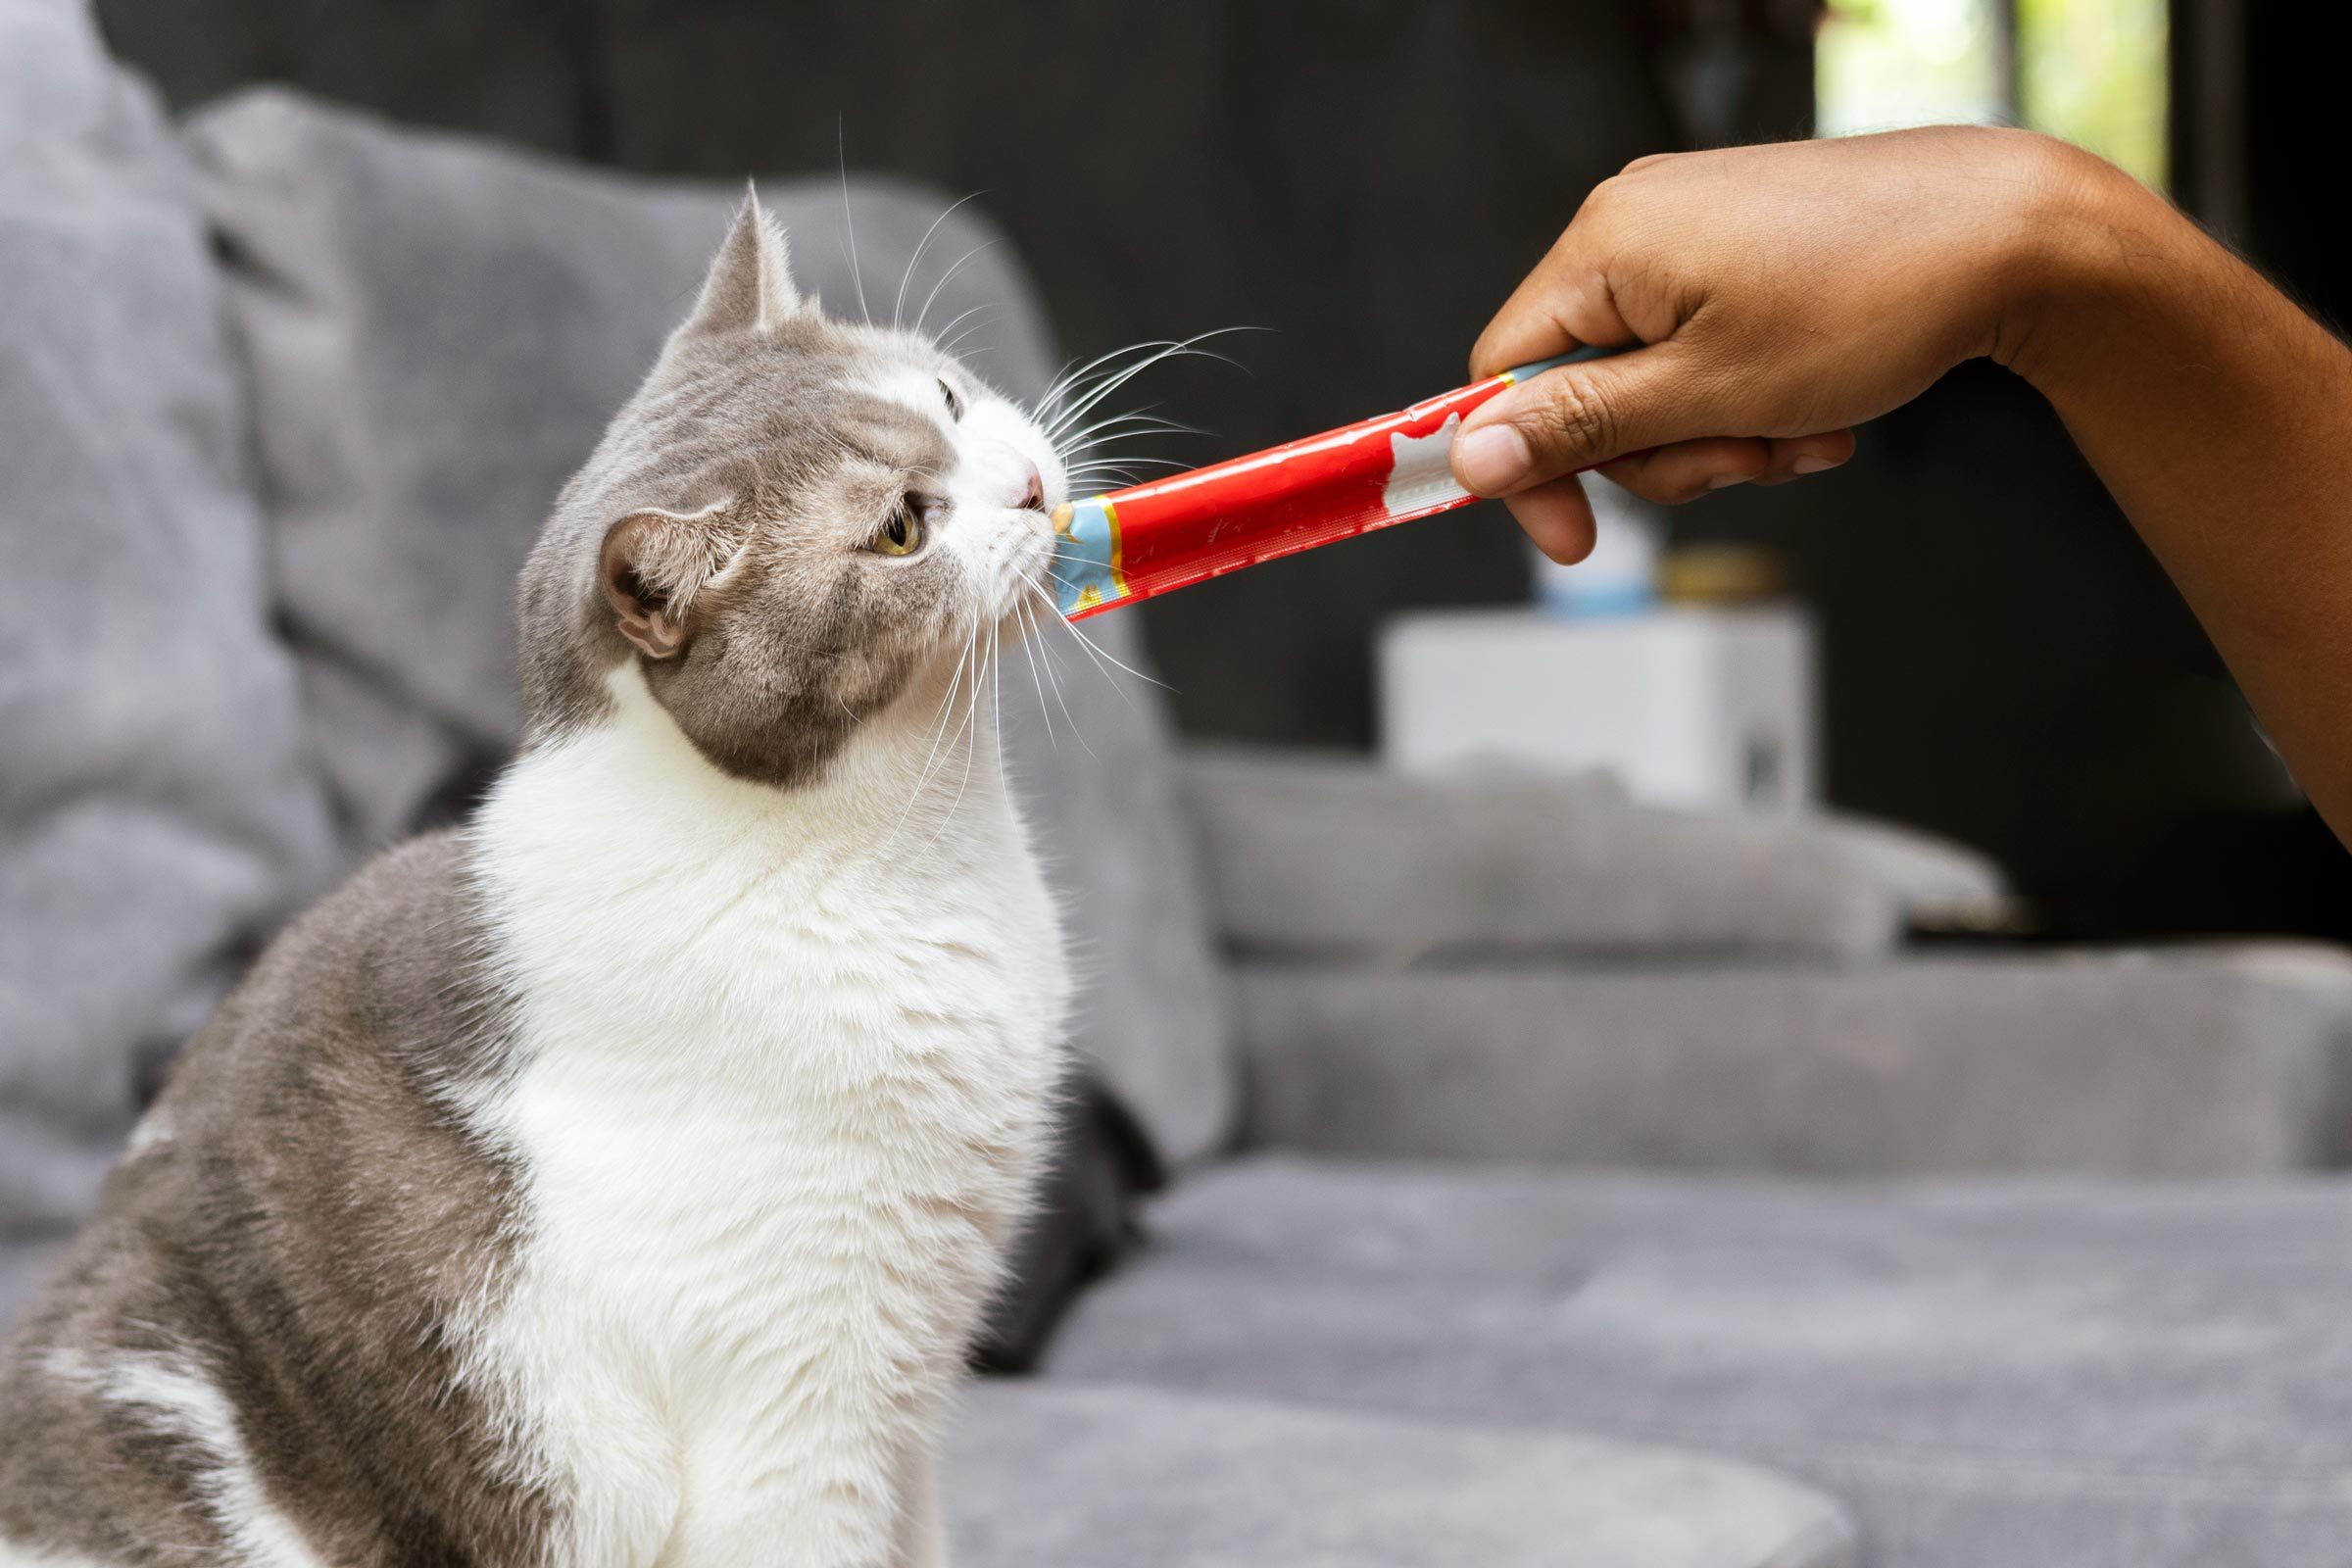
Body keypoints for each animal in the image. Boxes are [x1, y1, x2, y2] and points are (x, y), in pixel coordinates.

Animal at [0, 192, 1077, 1568]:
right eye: (899, 529)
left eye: (946, 393)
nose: (1034, 485)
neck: (916, 848)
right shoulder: (798, 1419)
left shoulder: (906, 1440)